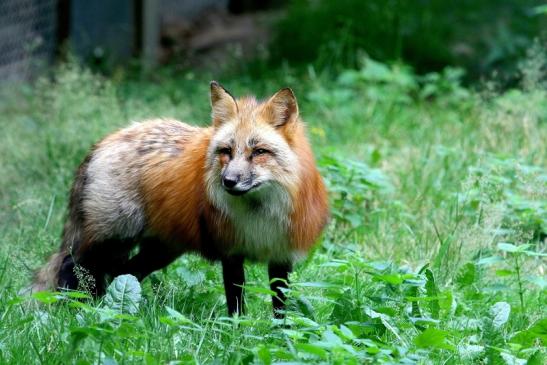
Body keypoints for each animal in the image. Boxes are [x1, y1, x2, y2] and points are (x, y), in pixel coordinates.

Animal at [33, 82, 330, 316]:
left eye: (258, 152)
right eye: (226, 151)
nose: (228, 181)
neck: (259, 214)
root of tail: (105, 140)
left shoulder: (281, 255)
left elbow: (280, 307)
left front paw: (281, 336)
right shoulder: (231, 252)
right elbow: (236, 304)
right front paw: (237, 332)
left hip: (160, 250)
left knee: (122, 274)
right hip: (112, 237)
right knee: (72, 265)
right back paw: (74, 308)